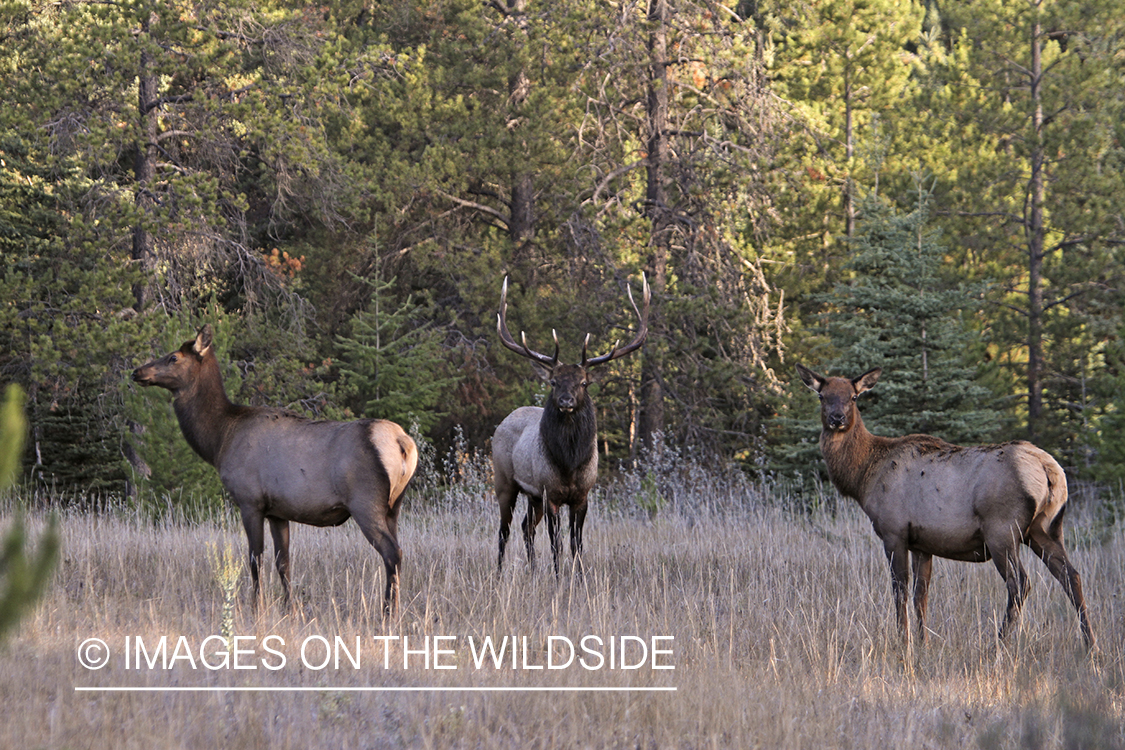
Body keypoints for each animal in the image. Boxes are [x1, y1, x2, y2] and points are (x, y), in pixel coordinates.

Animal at [132, 326, 418, 616]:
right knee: (398, 551)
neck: (219, 439)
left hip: (365, 501)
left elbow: (255, 558)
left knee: (391, 552)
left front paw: (256, 607)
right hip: (394, 506)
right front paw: (289, 607)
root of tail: (403, 443)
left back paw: (387, 611)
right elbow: (284, 562)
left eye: (173, 358)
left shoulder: (250, 501)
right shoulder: (278, 512)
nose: (137, 372)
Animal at [492, 275, 652, 575]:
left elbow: (577, 543)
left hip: (533, 496)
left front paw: (578, 577)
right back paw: (497, 574)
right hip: (504, 481)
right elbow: (557, 544)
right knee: (503, 531)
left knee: (526, 527)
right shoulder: (551, 493)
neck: (569, 464)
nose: (565, 400)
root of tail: (505, 420)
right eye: (554, 381)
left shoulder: (582, 495)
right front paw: (558, 578)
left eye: (584, 382)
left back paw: (532, 571)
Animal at [796, 364, 1093, 652]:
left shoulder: (894, 532)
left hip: (1003, 531)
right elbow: (921, 595)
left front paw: (903, 643)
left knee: (1020, 583)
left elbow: (900, 591)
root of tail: (1050, 469)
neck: (863, 477)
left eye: (853, 397)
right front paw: (923, 644)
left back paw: (998, 645)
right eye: (822, 396)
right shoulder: (922, 543)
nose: (837, 418)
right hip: (1046, 529)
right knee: (1072, 576)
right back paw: (1091, 645)